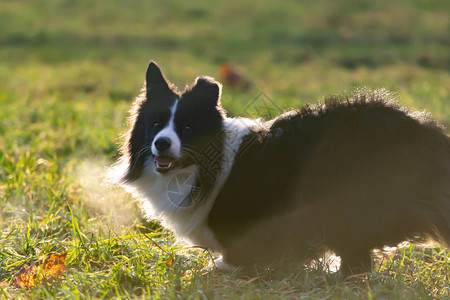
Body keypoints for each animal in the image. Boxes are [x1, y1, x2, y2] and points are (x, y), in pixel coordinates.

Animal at [109, 60, 450, 274]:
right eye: (155, 125)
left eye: (188, 128)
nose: (161, 144)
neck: (197, 170)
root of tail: (420, 131)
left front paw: (224, 268)